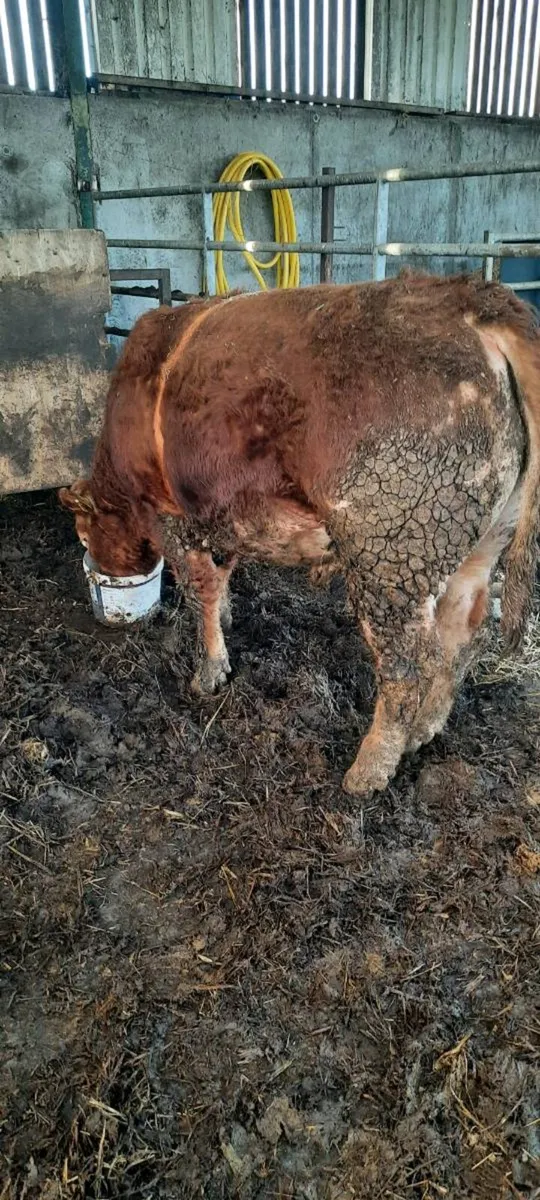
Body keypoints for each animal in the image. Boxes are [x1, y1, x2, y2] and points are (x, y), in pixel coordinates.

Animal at [60, 274, 540, 799]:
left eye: (84, 536)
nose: (97, 566)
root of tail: (473, 299)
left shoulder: (173, 520)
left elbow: (200, 591)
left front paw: (209, 670)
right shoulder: (224, 515)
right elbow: (222, 578)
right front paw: (227, 617)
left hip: (389, 550)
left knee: (409, 663)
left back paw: (369, 769)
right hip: (480, 540)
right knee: (464, 632)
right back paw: (426, 728)